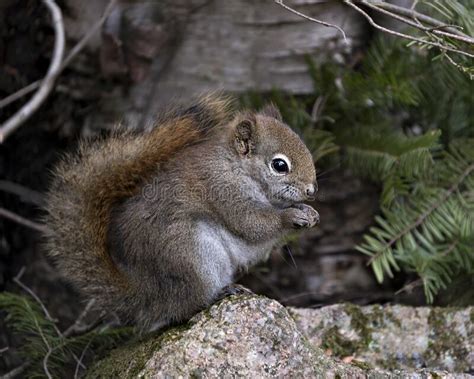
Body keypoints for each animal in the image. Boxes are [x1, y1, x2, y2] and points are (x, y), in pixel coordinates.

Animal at [43, 93, 318, 332]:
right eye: (279, 165)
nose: (311, 189)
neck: (237, 168)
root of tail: (149, 295)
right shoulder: (222, 190)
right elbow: (251, 224)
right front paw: (291, 217)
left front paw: (309, 212)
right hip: (191, 254)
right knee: (186, 308)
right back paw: (220, 294)